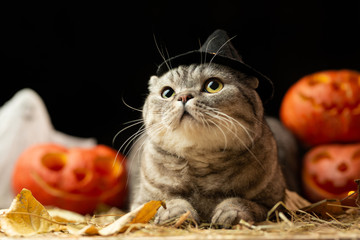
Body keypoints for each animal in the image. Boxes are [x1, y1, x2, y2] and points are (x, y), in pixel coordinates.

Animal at [125, 29, 296, 225]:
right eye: (167, 93)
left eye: (213, 86)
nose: (183, 96)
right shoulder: (139, 204)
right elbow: (165, 201)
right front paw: (177, 211)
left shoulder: (276, 205)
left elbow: (243, 202)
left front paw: (230, 212)